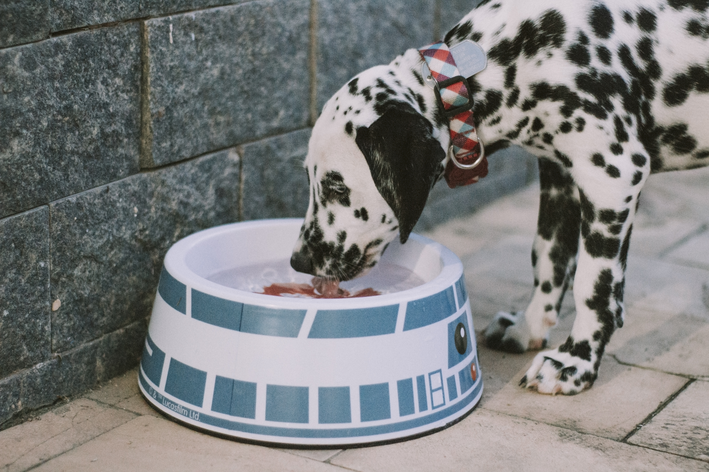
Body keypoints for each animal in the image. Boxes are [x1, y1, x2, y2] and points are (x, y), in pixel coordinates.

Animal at [290, 0, 708, 394]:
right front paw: (530, 327)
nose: (298, 261)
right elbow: (549, 257)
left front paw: (575, 362)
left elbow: (594, 284)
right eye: (310, 179)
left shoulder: (612, 174)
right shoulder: (559, 174)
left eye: (337, 186)